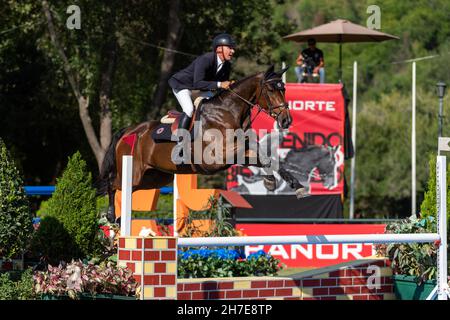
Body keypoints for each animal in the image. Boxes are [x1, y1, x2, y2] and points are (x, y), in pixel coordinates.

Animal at [96, 65, 292, 222]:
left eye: (284, 89)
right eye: (271, 90)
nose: (286, 120)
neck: (228, 112)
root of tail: (128, 131)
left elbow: (260, 155)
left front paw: (283, 181)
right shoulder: (216, 158)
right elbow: (254, 152)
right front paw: (272, 180)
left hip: (154, 177)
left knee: (127, 190)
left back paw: (119, 218)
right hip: (134, 172)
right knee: (112, 185)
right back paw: (111, 216)